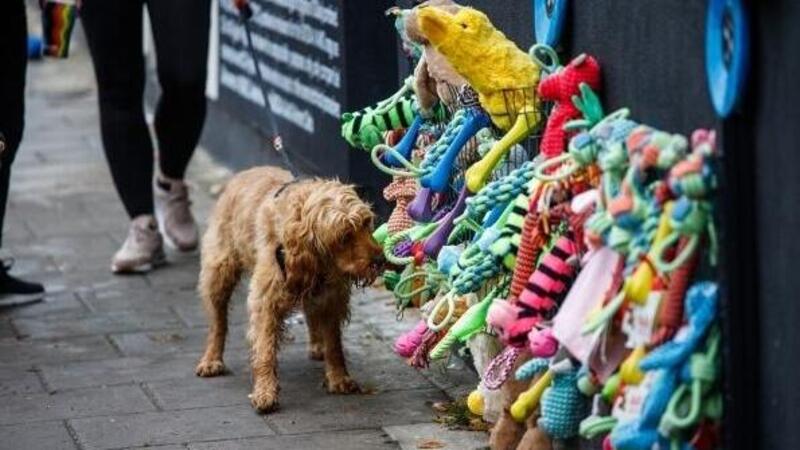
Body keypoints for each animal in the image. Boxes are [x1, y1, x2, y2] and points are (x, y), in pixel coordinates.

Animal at [193, 165, 382, 412]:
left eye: (366, 223)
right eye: (344, 236)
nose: (380, 260)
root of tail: (244, 173)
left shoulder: (331, 297)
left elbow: (334, 344)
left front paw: (338, 378)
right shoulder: (265, 301)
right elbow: (264, 350)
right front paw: (265, 391)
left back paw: (317, 345)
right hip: (218, 272)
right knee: (218, 323)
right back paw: (211, 359)